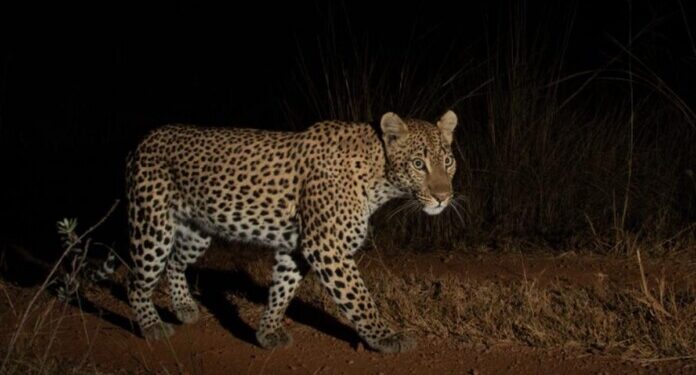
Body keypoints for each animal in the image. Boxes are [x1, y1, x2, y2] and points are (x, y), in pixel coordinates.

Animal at [125, 110, 460, 354]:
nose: (444, 197)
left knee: (174, 263)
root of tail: (141, 141)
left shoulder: (297, 247)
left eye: (448, 161)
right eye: (418, 164)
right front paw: (385, 338)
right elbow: (359, 297)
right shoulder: (327, 246)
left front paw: (267, 333)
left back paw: (184, 308)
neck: (378, 176)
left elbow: (282, 289)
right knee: (135, 283)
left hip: (197, 231)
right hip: (152, 226)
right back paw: (152, 327)